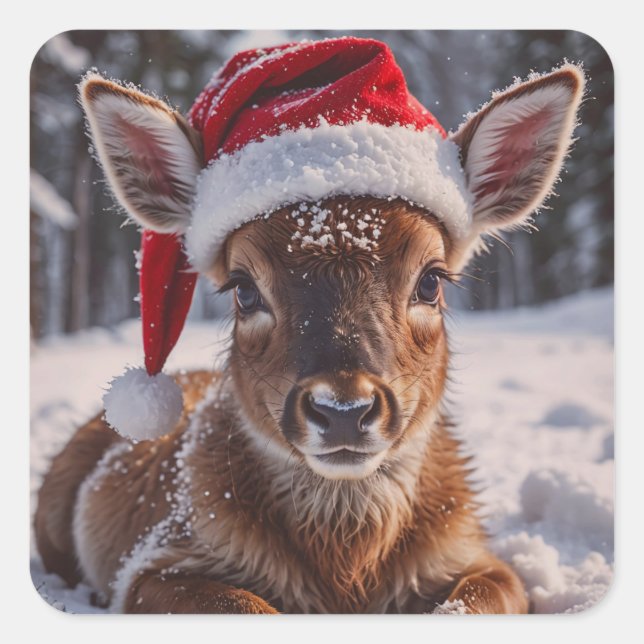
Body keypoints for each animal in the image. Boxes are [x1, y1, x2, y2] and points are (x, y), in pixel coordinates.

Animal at [34, 37, 584, 614]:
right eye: (243, 288)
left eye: (431, 281)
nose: (343, 409)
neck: (347, 570)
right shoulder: (157, 560)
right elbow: (244, 604)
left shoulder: (476, 554)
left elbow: (475, 599)